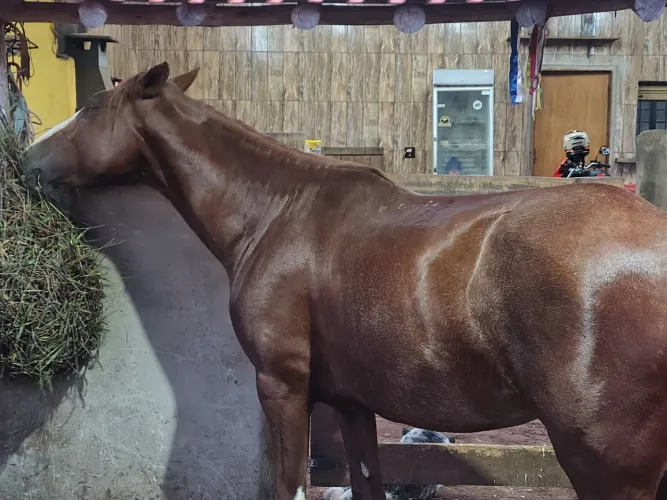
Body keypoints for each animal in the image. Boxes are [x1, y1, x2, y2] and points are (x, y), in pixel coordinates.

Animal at [21, 61, 667, 500]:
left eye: (92, 106)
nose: (26, 158)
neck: (275, 213)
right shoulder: (353, 404)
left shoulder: (283, 387)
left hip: (604, 460)